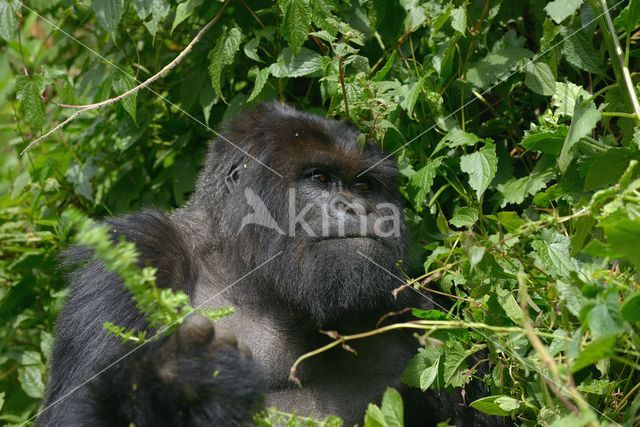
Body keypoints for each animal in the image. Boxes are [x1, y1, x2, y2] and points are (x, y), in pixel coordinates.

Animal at [41, 103, 496, 427]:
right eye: (318, 178)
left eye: (365, 185)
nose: (359, 209)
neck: (247, 271)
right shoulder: (137, 252)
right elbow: (72, 415)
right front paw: (182, 381)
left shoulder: (418, 311)